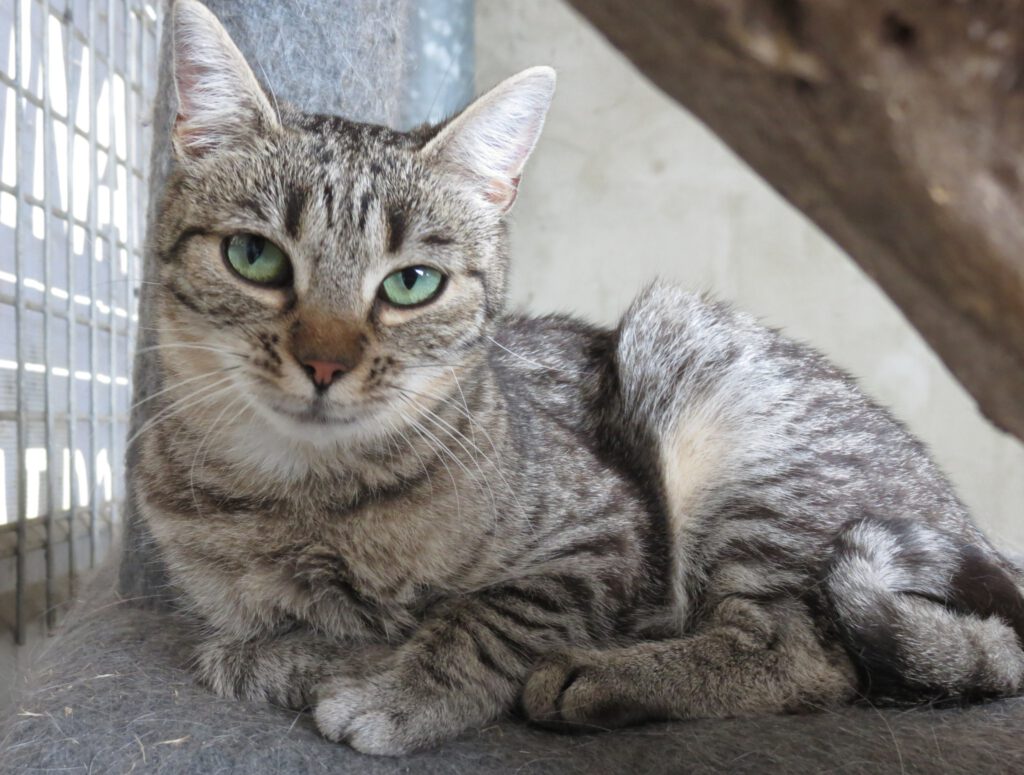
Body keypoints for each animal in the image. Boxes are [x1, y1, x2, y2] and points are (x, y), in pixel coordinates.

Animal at [136, 0, 1024, 753]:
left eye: (411, 283)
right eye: (254, 257)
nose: (326, 361)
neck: (306, 497)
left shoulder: (608, 530)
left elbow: (490, 613)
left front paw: (403, 687)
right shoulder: (217, 606)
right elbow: (242, 647)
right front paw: (326, 651)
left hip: (712, 405)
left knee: (802, 652)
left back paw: (600, 677)